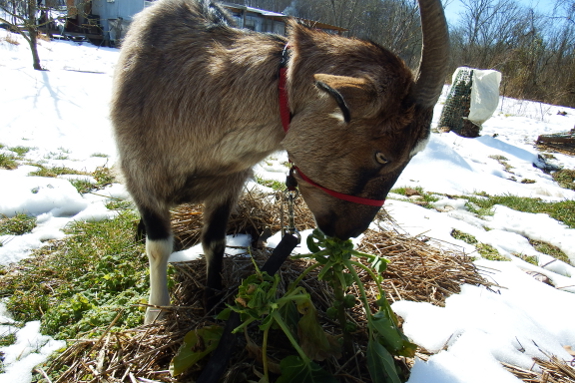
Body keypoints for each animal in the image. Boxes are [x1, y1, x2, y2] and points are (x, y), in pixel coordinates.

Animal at [109, 0, 450, 324]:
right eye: (383, 155)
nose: (352, 230)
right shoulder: (140, 175)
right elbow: (158, 246)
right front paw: (156, 314)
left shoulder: (228, 185)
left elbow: (215, 242)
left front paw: (214, 302)